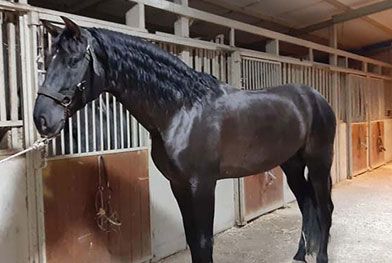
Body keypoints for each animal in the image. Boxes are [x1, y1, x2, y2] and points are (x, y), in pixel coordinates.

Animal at [33, 17, 336, 263]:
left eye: (73, 60)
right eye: (47, 60)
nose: (41, 119)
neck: (181, 109)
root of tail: (316, 98)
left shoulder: (201, 185)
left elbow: (203, 242)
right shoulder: (178, 185)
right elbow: (193, 240)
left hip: (319, 163)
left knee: (324, 207)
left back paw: (320, 256)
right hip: (292, 164)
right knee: (307, 203)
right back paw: (300, 254)